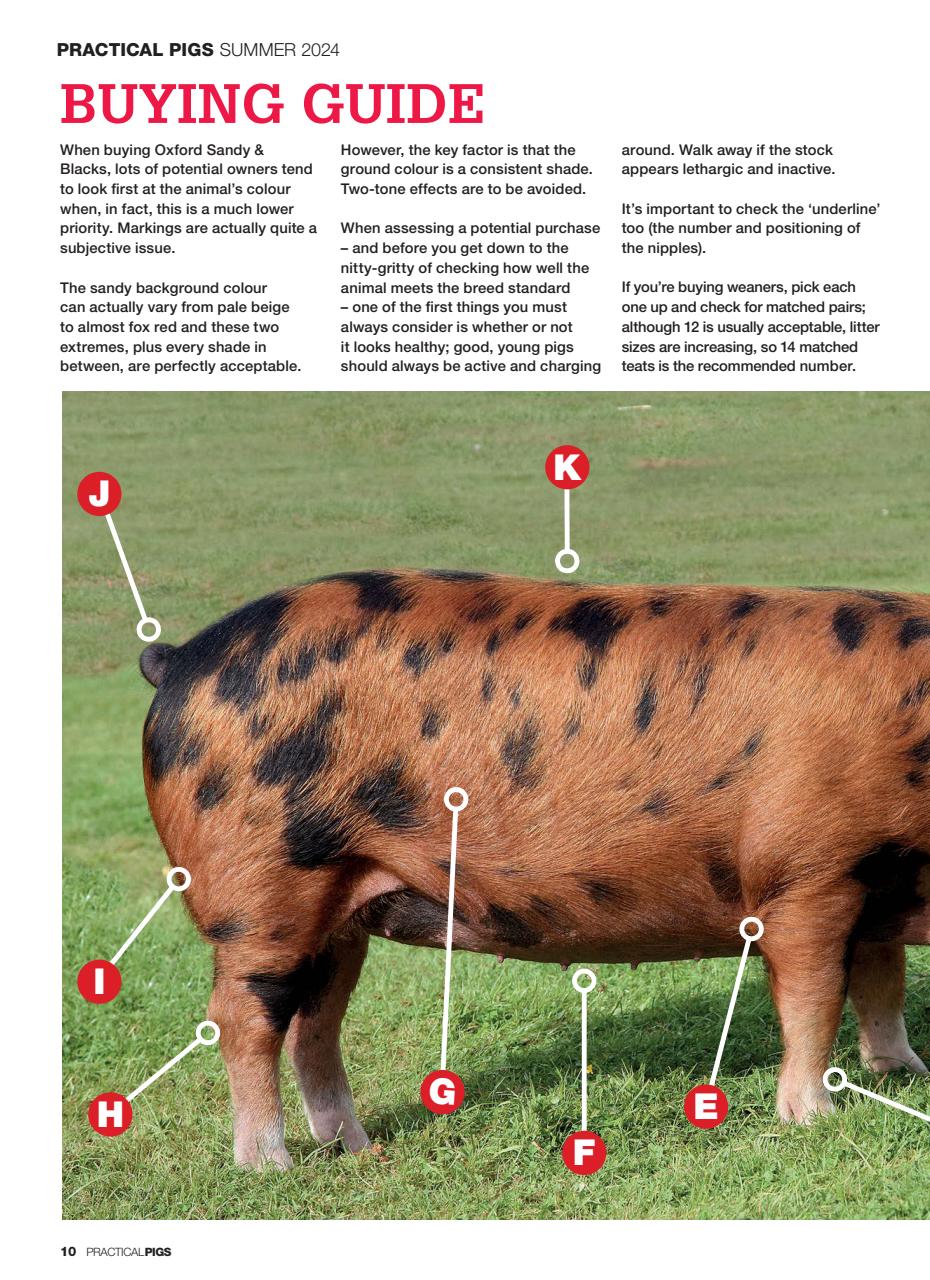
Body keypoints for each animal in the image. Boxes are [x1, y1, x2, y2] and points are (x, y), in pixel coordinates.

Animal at [139, 571, 930, 1167]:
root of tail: (180, 659)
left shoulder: (878, 887)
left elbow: (882, 982)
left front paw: (904, 1074)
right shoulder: (808, 871)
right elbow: (815, 996)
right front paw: (817, 1119)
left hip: (343, 910)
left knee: (314, 1023)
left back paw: (358, 1150)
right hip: (261, 886)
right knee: (244, 1017)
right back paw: (270, 1164)